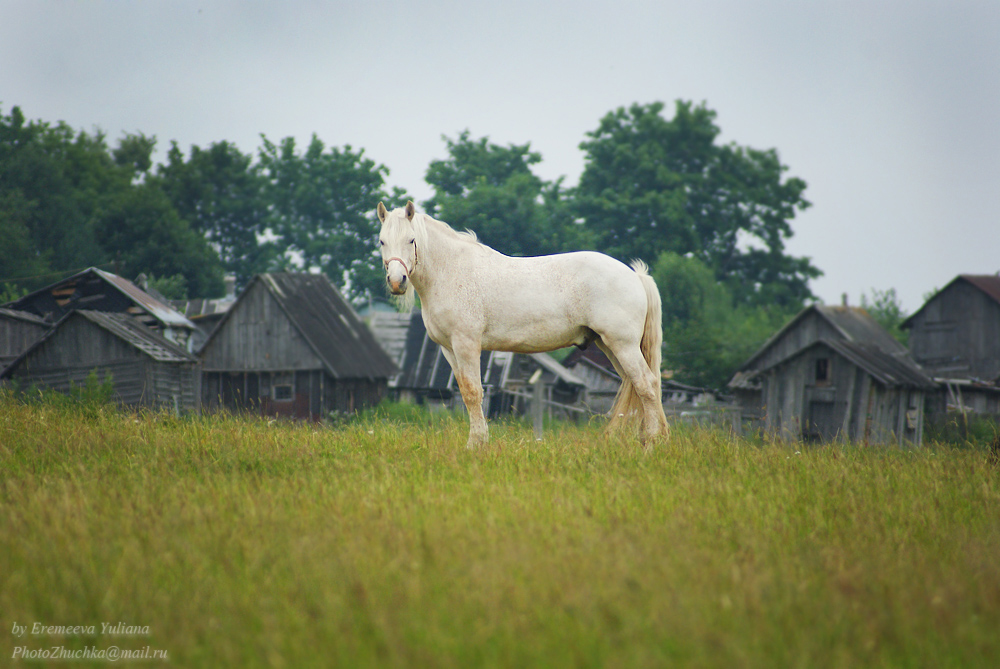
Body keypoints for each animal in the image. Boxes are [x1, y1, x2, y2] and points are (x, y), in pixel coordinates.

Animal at [378, 198, 668, 448]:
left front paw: (476, 445)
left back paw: (652, 444)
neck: (451, 271)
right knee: (638, 386)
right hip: (611, 346)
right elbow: (465, 392)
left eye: (411, 239)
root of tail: (635, 275)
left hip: (623, 345)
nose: (396, 281)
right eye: (381, 241)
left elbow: (473, 393)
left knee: (647, 385)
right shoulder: (449, 349)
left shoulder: (466, 344)